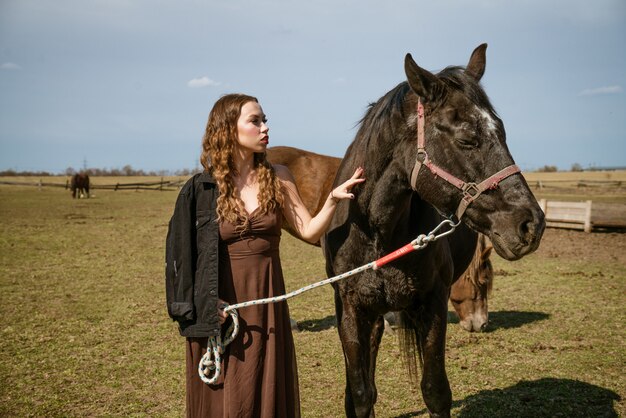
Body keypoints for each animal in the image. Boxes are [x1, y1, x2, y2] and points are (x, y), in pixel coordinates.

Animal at [322, 44, 540, 416]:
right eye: (467, 138)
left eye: (502, 131)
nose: (531, 224)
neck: (377, 233)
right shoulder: (351, 309)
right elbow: (361, 394)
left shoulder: (432, 302)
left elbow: (435, 390)